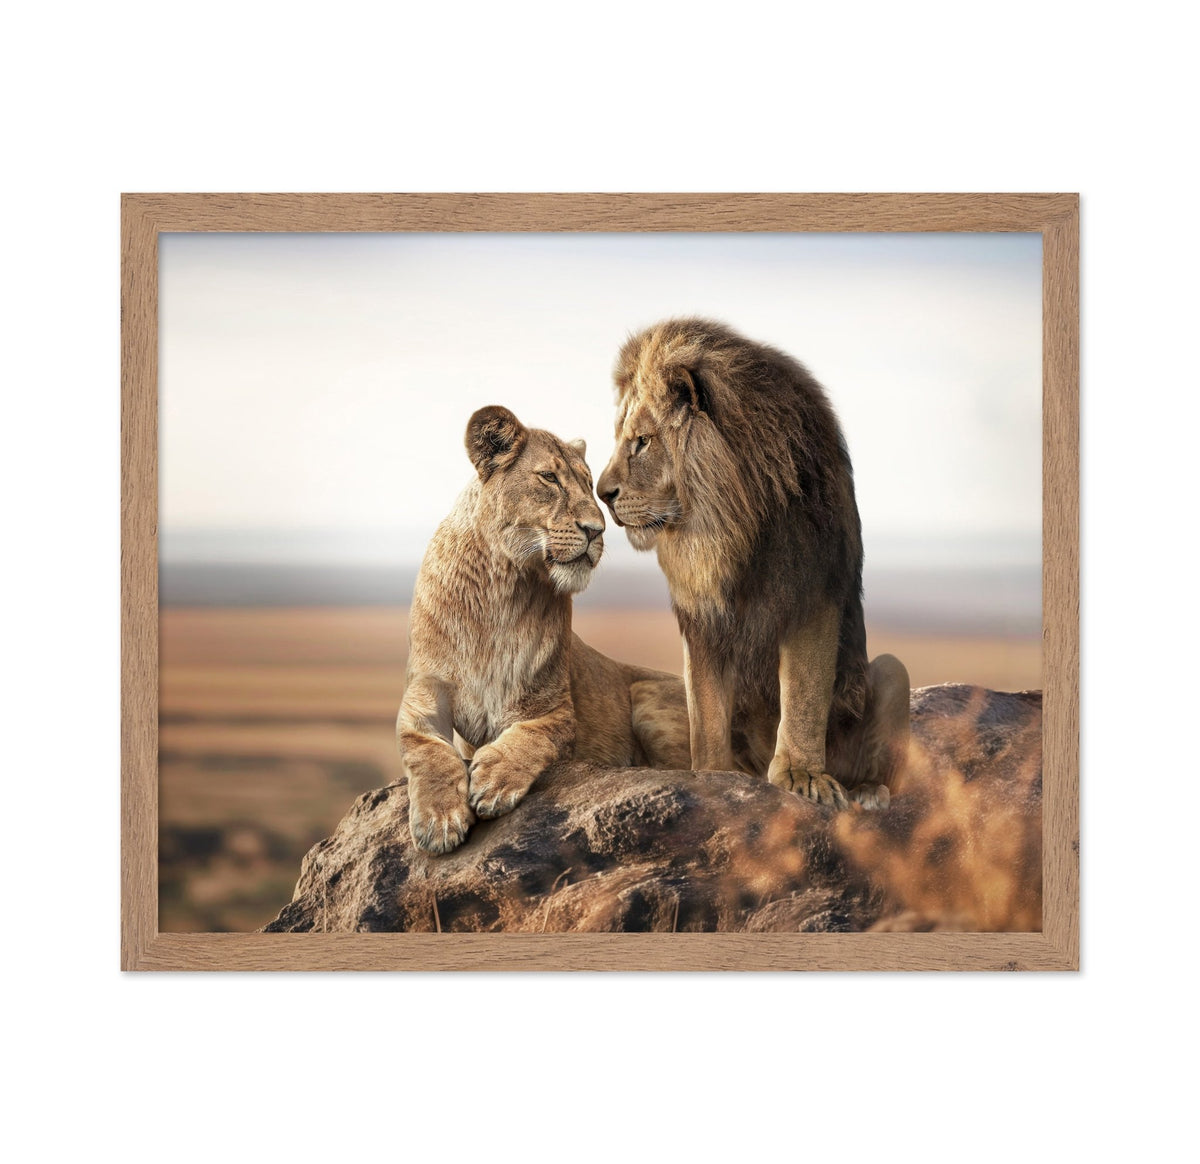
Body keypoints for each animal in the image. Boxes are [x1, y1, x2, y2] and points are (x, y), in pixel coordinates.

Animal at [397, 405, 691, 854]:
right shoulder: (424, 691)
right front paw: (438, 819)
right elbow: (426, 749)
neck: (498, 588)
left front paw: (494, 780)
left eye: (589, 484)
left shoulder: (553, 706)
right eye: (549, 478)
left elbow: (533, 736)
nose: (597, 530)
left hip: (648, 697)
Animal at [596, 318, 911, 810]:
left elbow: (803, 696)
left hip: (895, 670)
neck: (729, 524)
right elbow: (705, 711)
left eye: (641, 442)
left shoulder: (811, 594)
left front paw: (802, 775)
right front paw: (710, 775)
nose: (600, 493)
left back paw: (866, 792)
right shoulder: (701, 617)